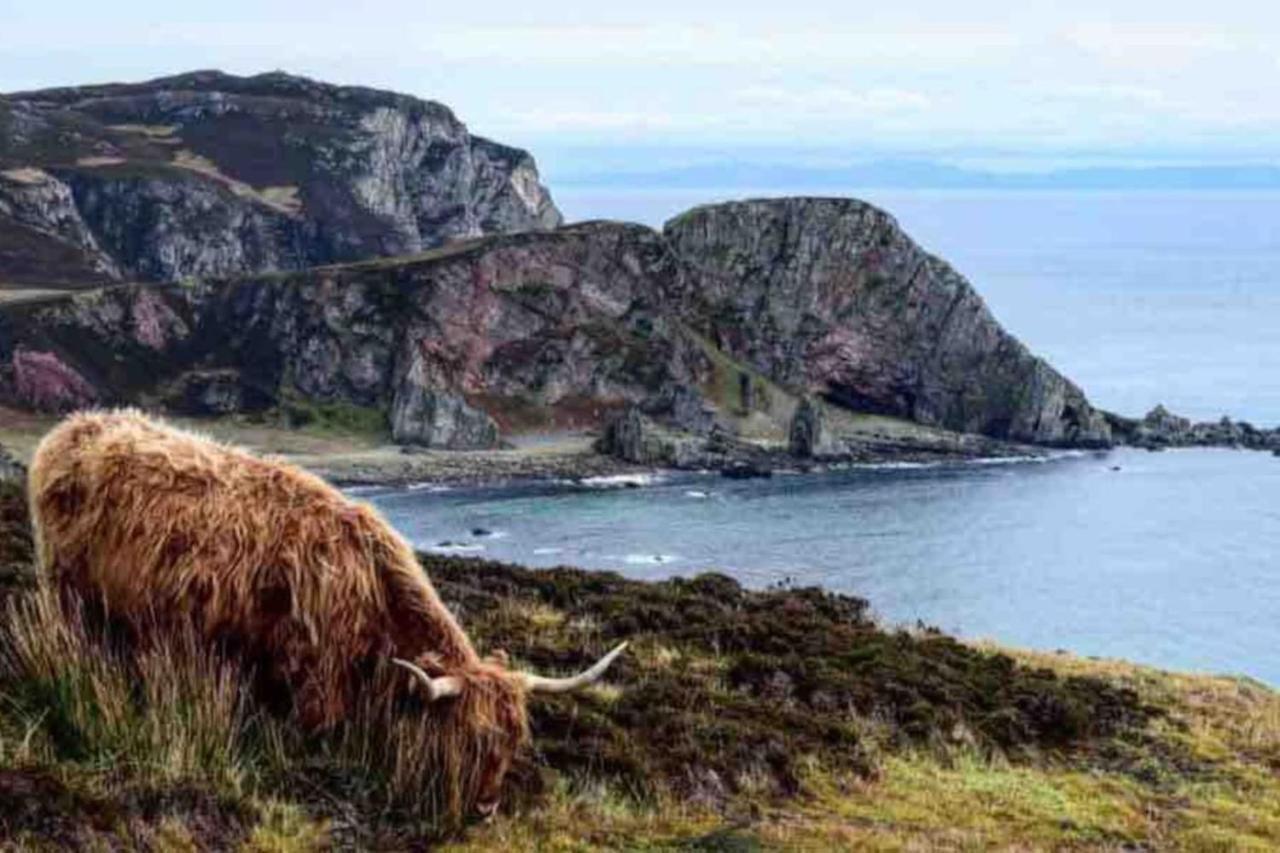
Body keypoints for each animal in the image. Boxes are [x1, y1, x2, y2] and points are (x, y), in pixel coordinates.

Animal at [27, 409, 627, 814]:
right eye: (470, 736)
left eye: (514, 740)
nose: (485, 807)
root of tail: (71, 428)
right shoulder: (314, 676)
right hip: (64, 585)